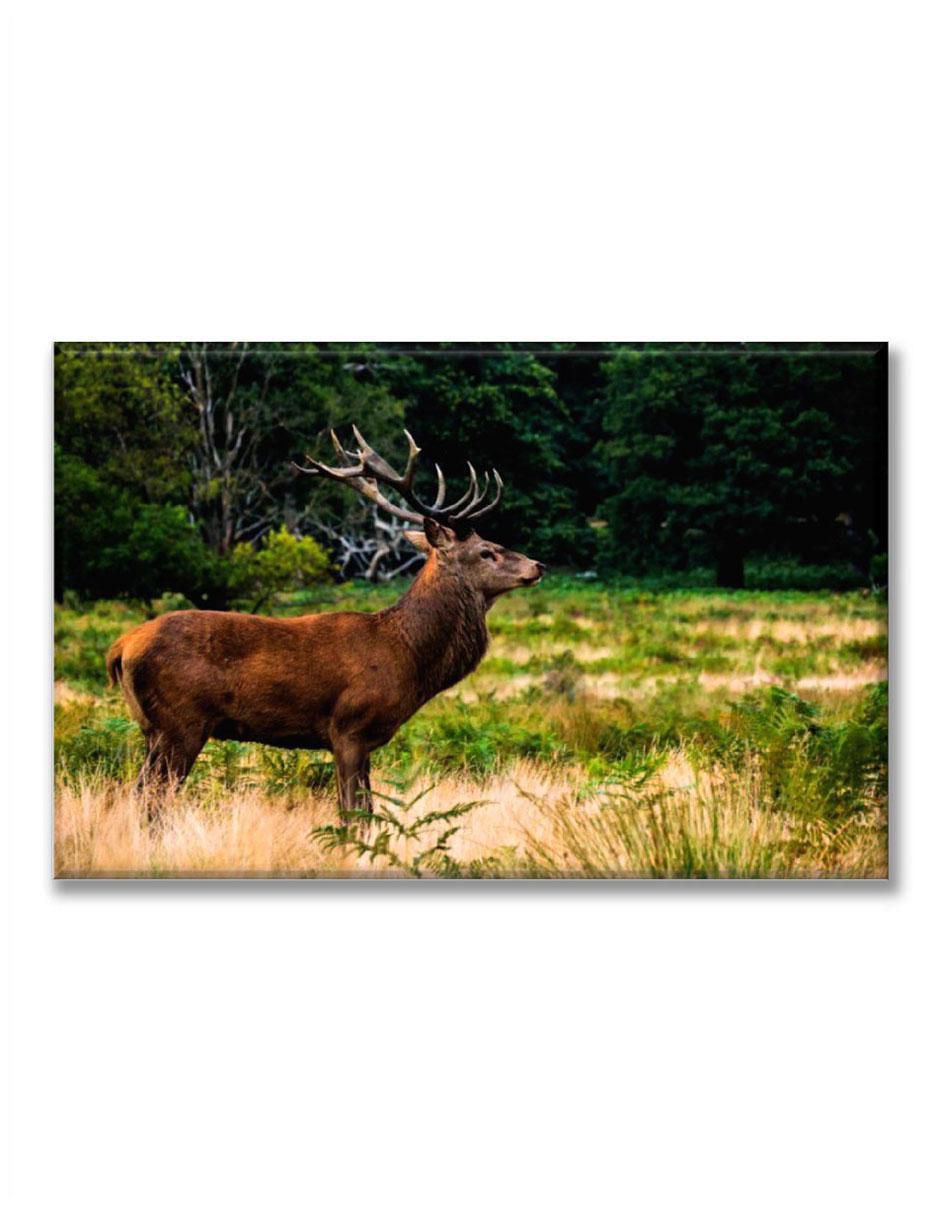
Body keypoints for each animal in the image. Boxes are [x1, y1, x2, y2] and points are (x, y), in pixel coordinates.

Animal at [106, 427, 545, 823]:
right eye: (487, 551)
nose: (537, 565)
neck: (406, 656)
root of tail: (121, 647)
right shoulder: (348, 727)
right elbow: (353, 813)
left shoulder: (364, 740)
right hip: (180, 723)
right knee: (152, 799)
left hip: (153, 729)